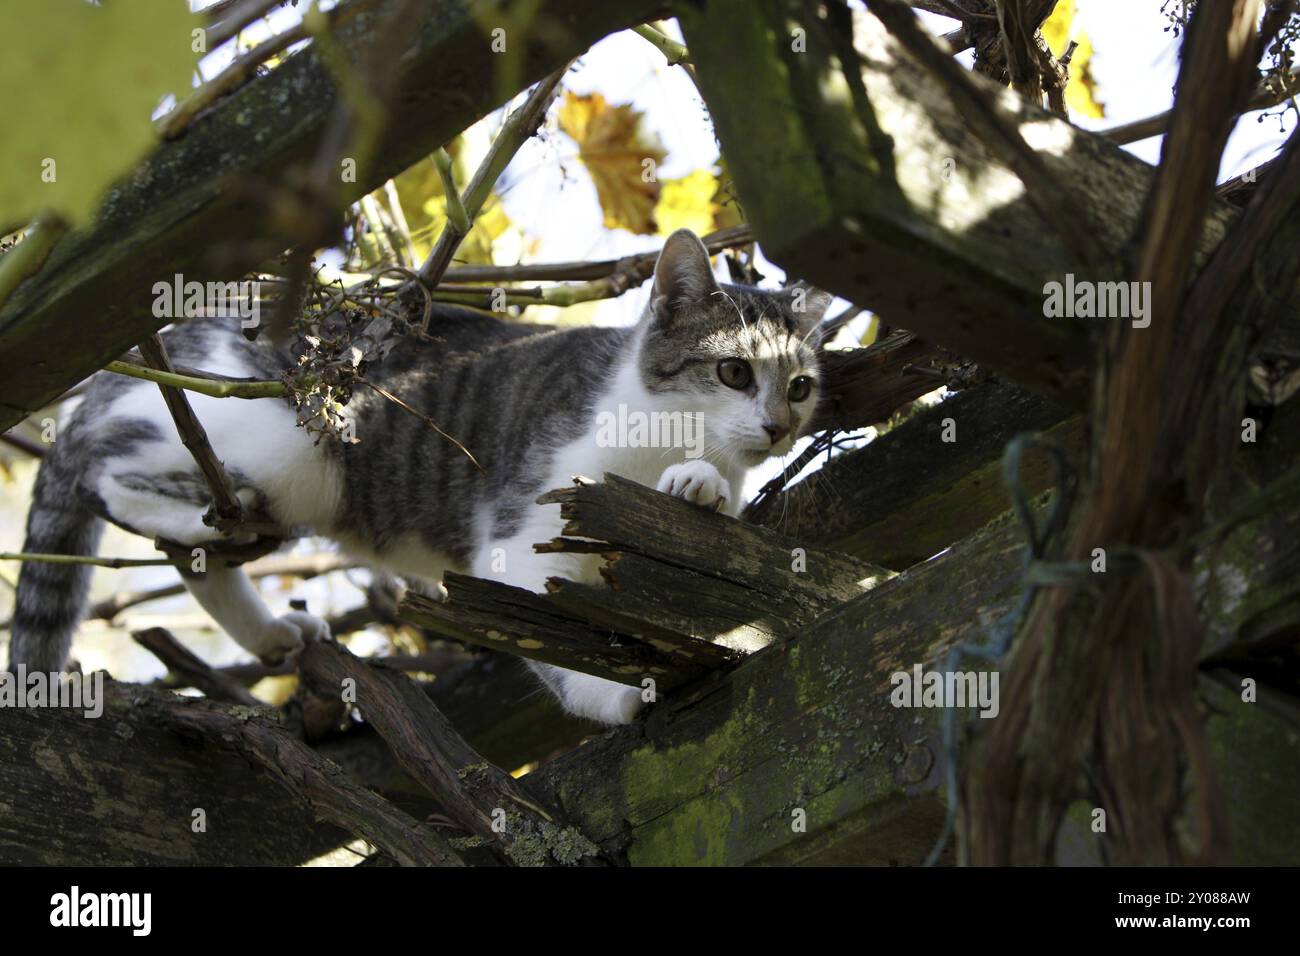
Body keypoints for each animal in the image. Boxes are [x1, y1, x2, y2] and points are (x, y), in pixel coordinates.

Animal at [7, 230, 821, 723]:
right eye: (734, 371)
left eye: (802, 386)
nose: (779, 427)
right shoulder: (519, 530)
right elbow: (546, 633)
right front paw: (615, 696)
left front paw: (701, 486)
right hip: (282, 444)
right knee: (106, 474)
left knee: (199, 556)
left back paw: (268, 628)